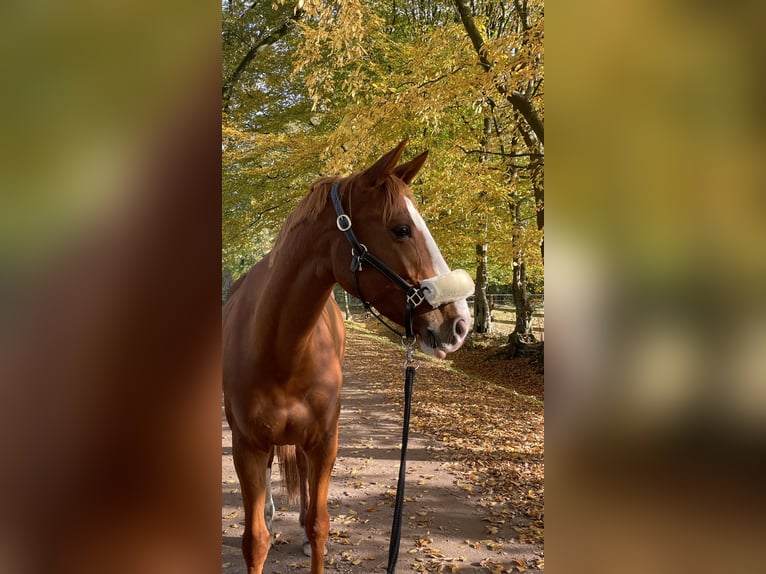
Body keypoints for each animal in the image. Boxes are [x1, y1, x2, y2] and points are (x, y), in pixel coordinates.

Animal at [222, 141, 474, 574]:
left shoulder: (326, 442)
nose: (460, 323)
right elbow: (255, 542)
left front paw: (308, 532)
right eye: (401, 229)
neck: (280, 352)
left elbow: (319, 526)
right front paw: (265, 523)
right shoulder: (246, 446)